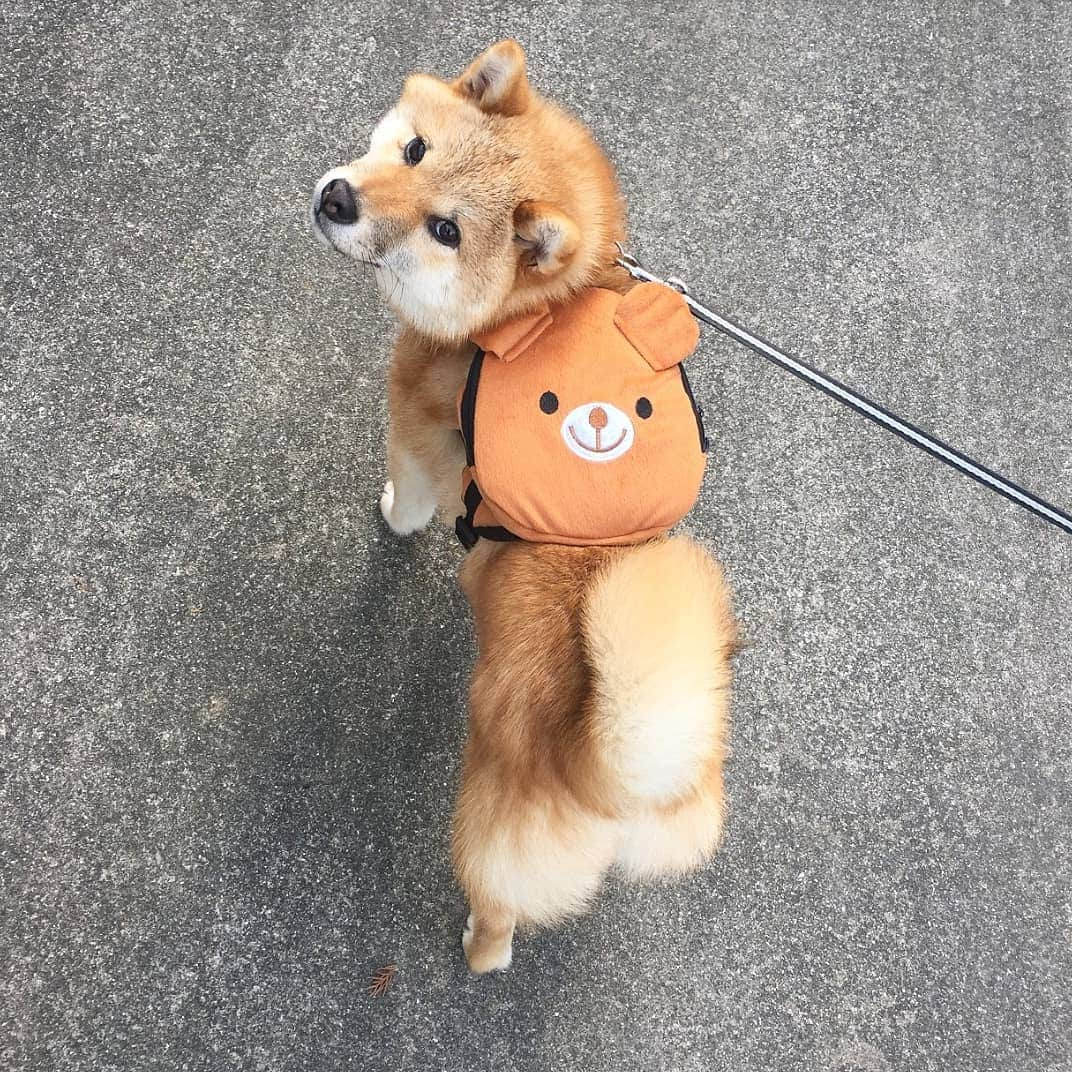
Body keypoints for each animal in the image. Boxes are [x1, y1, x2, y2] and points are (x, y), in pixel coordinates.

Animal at [310, 41, 737, 973]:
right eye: (414, 150)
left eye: (445, 231)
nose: (337, 198)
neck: (524, 313)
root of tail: (609, 786)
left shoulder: (416, 430)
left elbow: (409, 503)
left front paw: (390, 513)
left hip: (483, 836)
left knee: (496, 928)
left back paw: (476, 946)